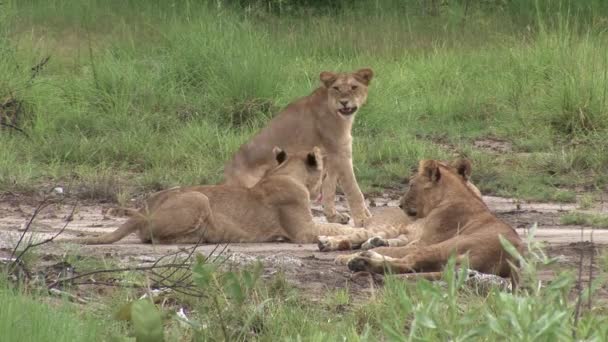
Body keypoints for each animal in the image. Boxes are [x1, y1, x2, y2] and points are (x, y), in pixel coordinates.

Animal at [63, 147, 364, 246]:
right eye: (323, 173)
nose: (324, 188)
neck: (287, 172)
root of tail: (144, 207)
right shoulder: (302, 231)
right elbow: (334, 228)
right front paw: (360, 232)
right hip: (199, 198)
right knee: (154, 238)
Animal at [224, 68, 376, 227]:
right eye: (336, 88)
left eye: (354, 87)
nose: (344, 102)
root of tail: (226, 174)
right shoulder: (340, 152)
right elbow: (353, 188)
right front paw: (363, 219)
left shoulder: (332, 154)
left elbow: (329, 187)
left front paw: (334, 217)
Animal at [340, 159, 524, 280]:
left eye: (411, 185)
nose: (400, 204)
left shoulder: (423, 243)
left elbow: (391, 250)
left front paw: (345, 256)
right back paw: (364, 257)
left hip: (443, 246)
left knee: (407, 264)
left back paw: (360, 261)